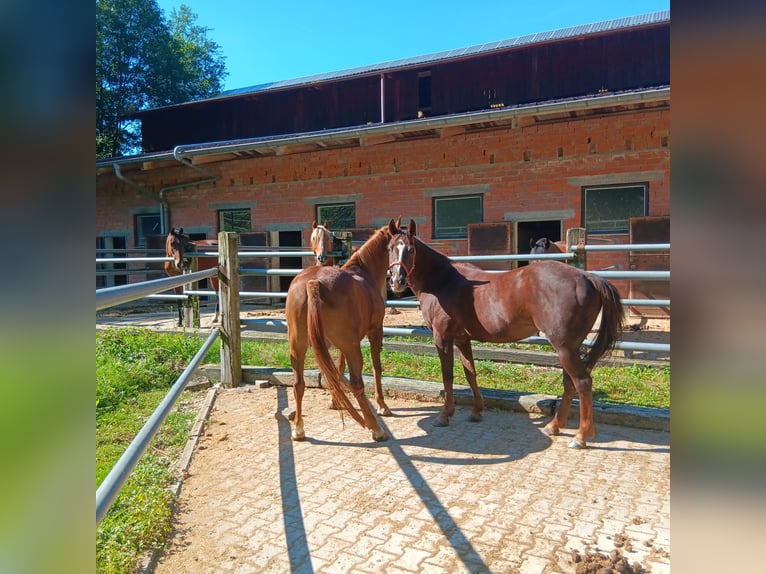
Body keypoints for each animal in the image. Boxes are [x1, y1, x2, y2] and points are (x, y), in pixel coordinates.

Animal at [284, 222, 400, 446]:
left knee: (298, 384)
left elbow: (336, 369)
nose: (399, 279)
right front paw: (382, 405)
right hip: (352, 346)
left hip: (298, 347)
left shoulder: (339, 346)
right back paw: (376, 429)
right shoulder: (374, 332)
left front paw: (335, 401)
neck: (364, 273)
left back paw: (298, 430)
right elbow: (376, 367)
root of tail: (313, 284)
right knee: (357, 384)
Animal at [388, 220, 628, 450]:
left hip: (564, 347)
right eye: (390, 248)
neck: (444, 281)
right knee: (570, 383)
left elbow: (448, 376)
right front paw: (476, 412)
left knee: (583, 383)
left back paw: (580, 437)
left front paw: (444, 416)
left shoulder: (443, 338)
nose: (397, 281)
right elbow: (470, 373)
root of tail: (586, 277)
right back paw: (554, 426)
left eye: (410, 249)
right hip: (571, 347)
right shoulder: (462, 339)